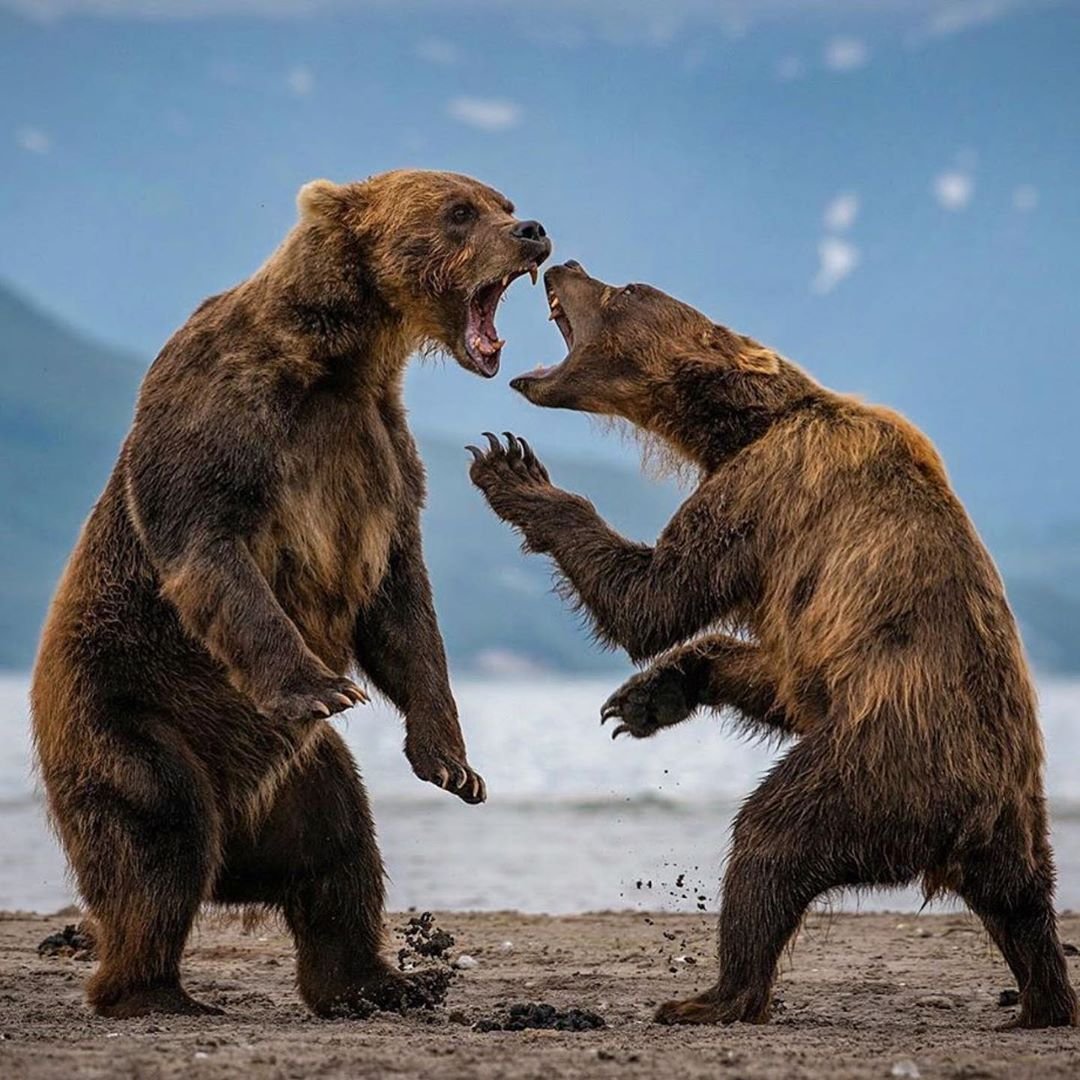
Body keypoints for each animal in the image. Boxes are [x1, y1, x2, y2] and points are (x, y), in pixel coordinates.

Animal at [30, 169, 551, 1019]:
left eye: (501, 201)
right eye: (459, 211)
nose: (533, 231)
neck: (343, 359)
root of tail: (237, 841)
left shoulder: (381, 452)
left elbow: (401, 609)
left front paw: (453, 763)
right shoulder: (225, 410)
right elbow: (210, 546)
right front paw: (320, 685)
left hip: (299, 779)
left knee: (340, 853)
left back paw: (378, 982)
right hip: (127, 712)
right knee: (159, 839)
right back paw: (152, 990)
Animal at [468, 259, 1078, 1029]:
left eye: (631, 290)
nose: (565, 263)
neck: (740, 426)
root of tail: (974, 818)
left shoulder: (771, 487)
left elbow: (658, 597)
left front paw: (512, 470)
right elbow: (779, 674)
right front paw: (645, 698)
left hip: (884, 762)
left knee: (772, 837)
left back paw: (714, 994)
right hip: (1013, 813)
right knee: (1024, 902)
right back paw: (1044, 999)